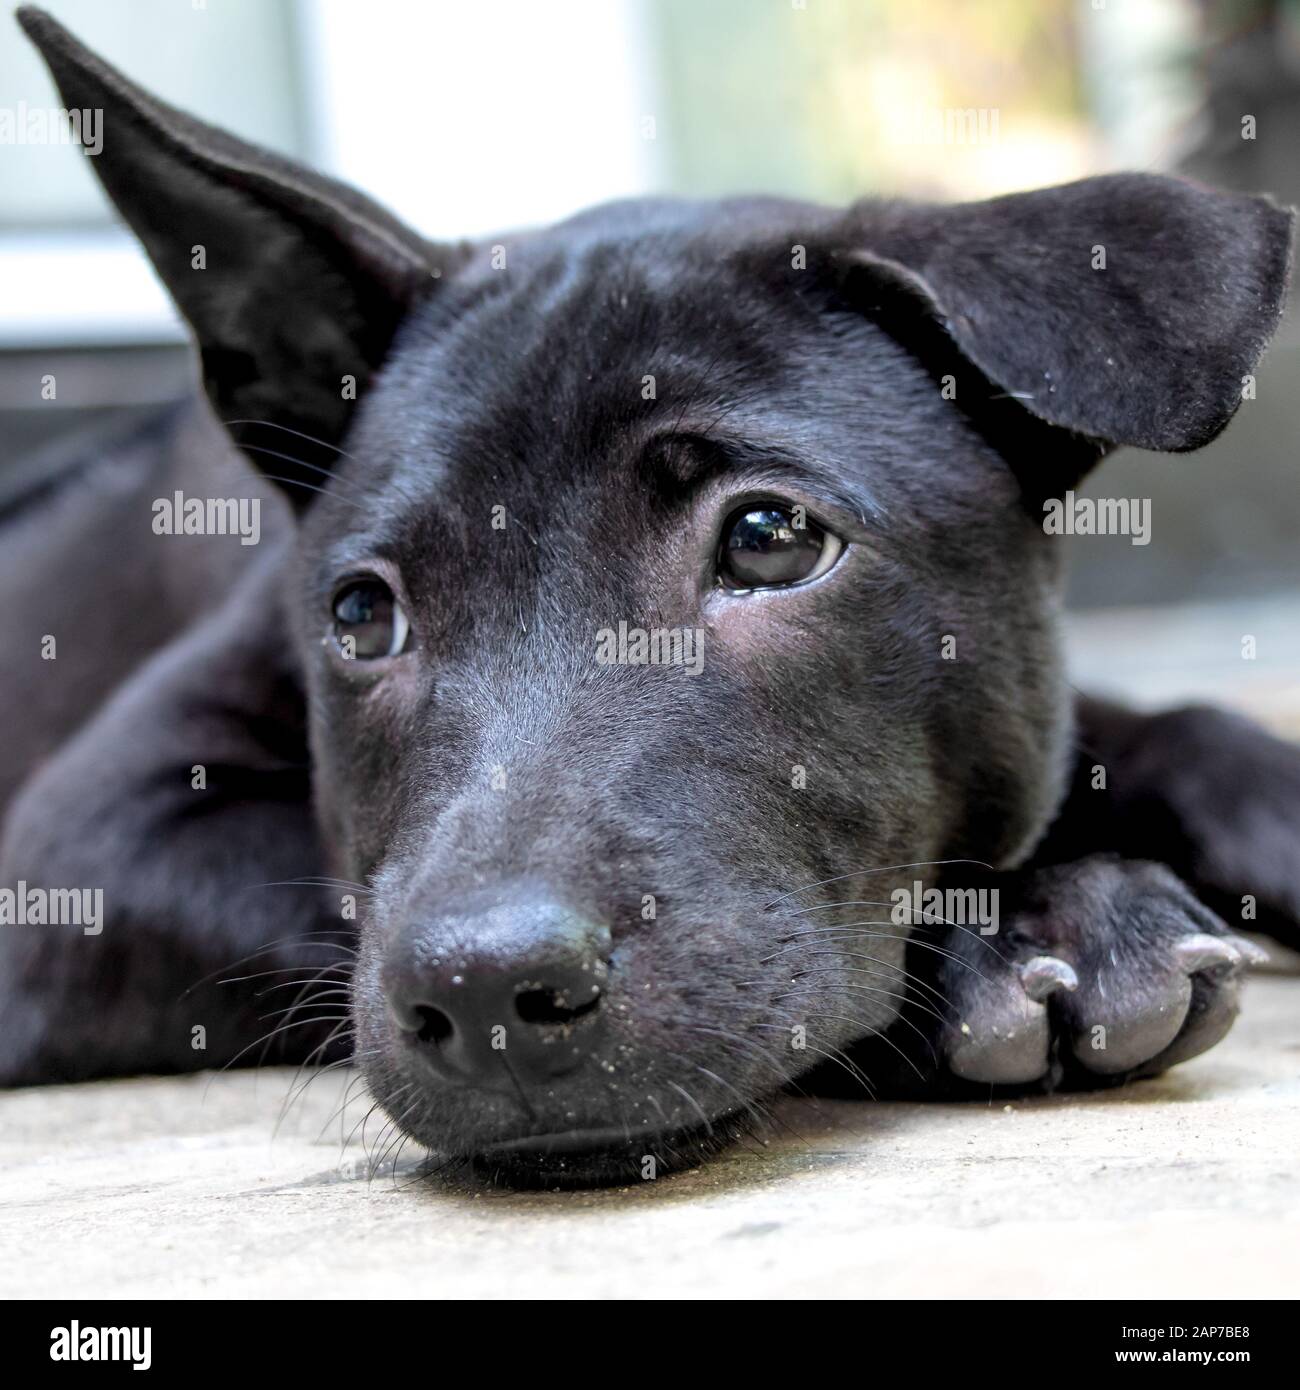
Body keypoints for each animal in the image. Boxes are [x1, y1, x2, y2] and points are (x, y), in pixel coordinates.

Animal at [2, 8, 1300, 1184]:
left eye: (770, 539)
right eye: (361, 616)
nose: (484, 994)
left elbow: (1154, 727)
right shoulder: (83, 845)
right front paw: (1029, 925)